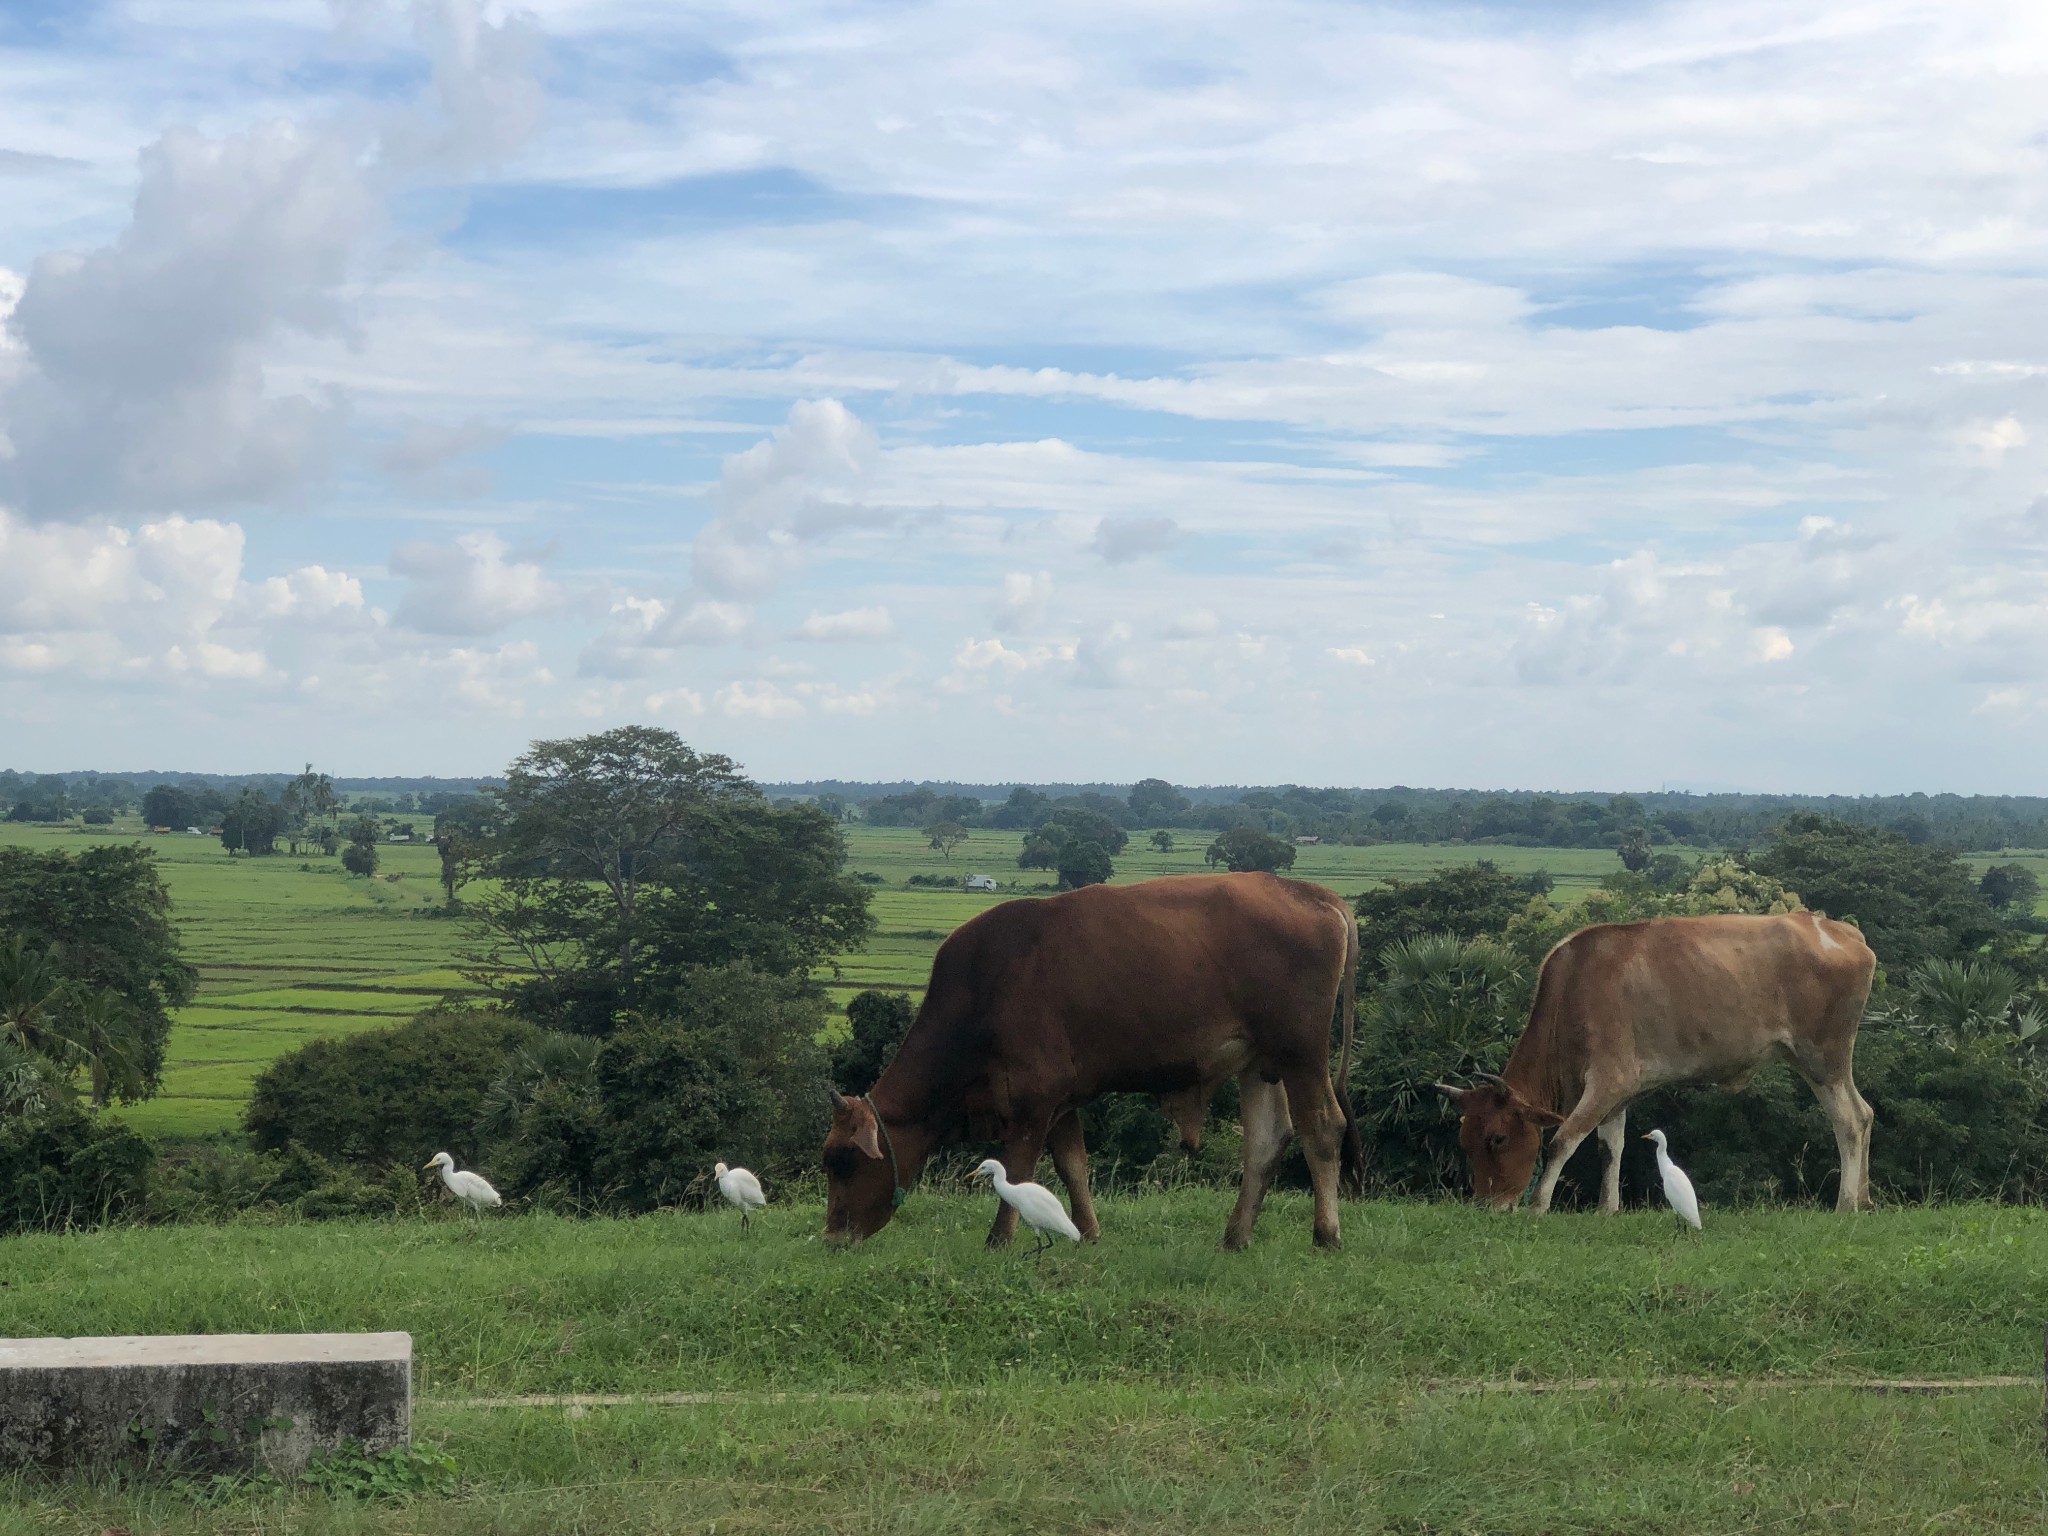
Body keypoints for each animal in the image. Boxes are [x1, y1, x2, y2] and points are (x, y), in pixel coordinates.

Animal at [823, 876, 1368, 1253]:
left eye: (843, 1160)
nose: (832, 1238)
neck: (981, 988)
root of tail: (1312, 892)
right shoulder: (1062, 1102)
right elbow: (1073, 1167)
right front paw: (1087, 1232)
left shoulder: (1033, 1099)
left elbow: (1019, 1170)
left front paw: (999, 1239)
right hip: (1261, 1062)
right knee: (1266, 1141)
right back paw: (1235, 1236)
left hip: (1301, 1054)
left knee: (1323, 1128)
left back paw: (1326, 1234)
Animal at [1433, 913, 1875, 1212]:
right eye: (1464, 1141)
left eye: (1498, 1138)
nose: (1487, 1205)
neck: (1572, 985)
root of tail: (1840, 931)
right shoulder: (1617, 1093)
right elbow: (1610, 1148)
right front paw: (1607, 1209)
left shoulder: (1608, 1079)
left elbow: (1563, 1141)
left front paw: (1538, 1206)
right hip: (1813, 1060)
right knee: (1866, 1113)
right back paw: (1866, 1199)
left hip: (1824, 1057)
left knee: (1850, 1120)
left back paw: (1845, 1205)